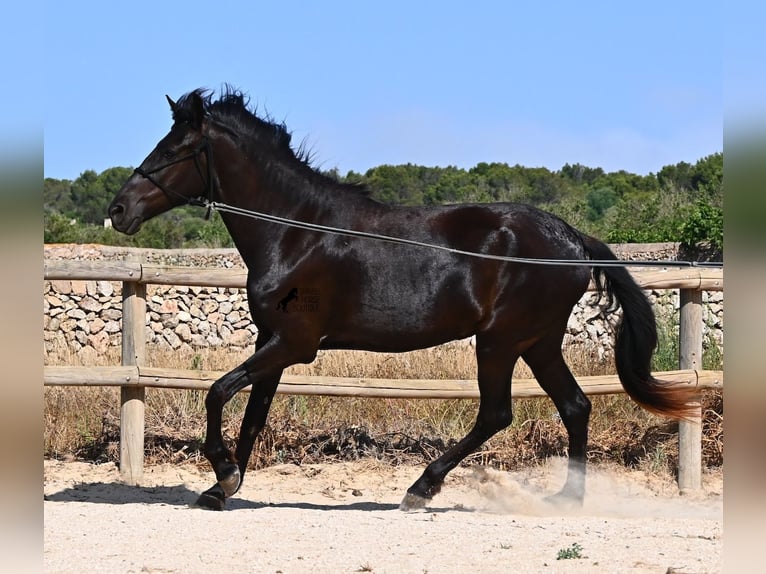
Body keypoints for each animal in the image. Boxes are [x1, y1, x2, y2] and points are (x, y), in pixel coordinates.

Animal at [108, 87, 697, 511]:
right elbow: (252, 413)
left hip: (500, 340)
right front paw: (222, 488)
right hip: (538, 341)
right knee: (575, 405)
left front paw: (223, 473)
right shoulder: (271, 341)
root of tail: (572, 238)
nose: (119, 210)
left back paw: (421, 489)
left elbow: (216, 392)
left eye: (175, 150)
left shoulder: (295, 343)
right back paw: (566, 499)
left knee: (497, 413)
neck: (297, 232)